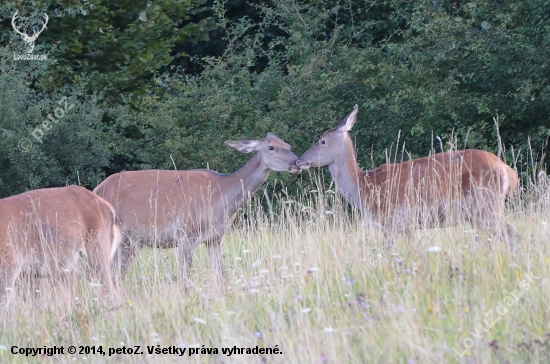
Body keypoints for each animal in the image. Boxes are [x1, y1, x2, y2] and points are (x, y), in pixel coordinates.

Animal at [95, 132, 302, 288]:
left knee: (114, 274)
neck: (219, 199)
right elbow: (186, 280)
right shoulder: (185, 234)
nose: (297, 163)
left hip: (131, 242)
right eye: (271, 147)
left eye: (288, 145)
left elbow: (220, 276)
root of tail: (97, 189)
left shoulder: (215, 238)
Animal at [296, 104, 520, 239]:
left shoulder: (390, 222)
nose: (300, 161)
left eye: (322, 141)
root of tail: (509, 171)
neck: (363, 186)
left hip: (486, 205)